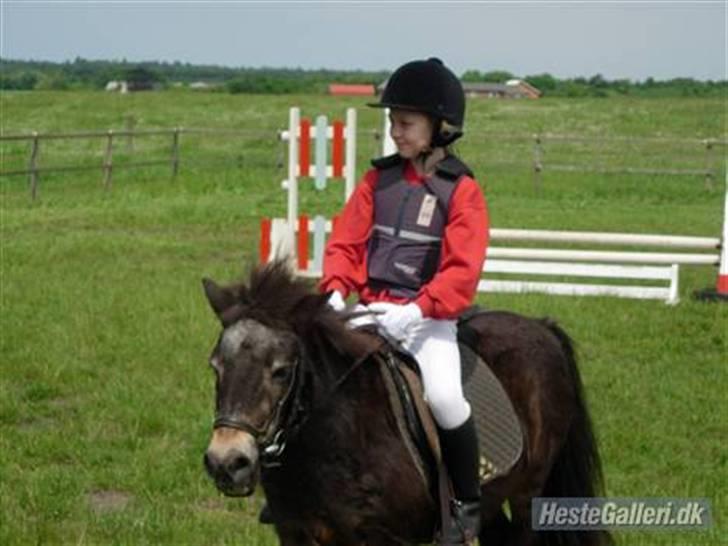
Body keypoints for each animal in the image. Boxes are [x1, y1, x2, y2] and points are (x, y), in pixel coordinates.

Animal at [200, 262, 608, 540]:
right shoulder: (297, 534)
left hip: (528, 491)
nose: (227, 462)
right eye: (216, 366)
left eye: (281, 371)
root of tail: (542, 327)